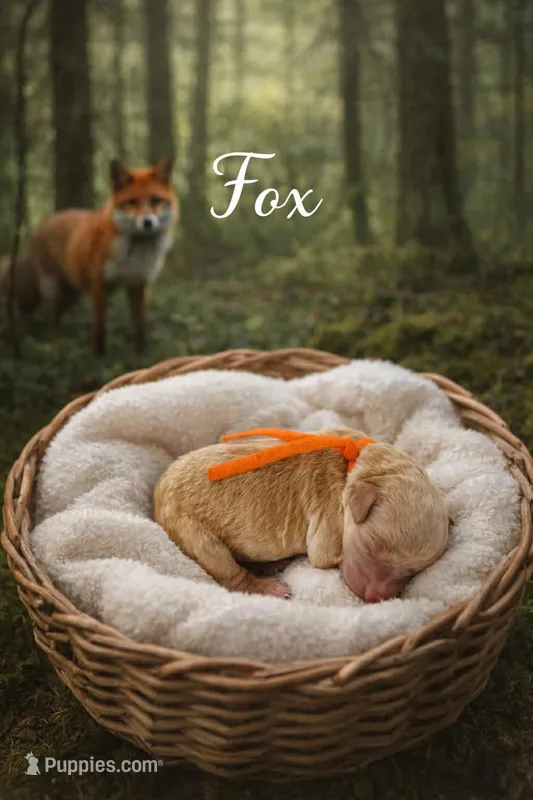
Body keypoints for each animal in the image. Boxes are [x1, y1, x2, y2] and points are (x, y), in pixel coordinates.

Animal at [0, 156, 178, 355]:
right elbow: (100, 328)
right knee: (48, 316)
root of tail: (39, 226)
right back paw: (54, 346)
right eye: (132, 202)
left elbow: (140, 328)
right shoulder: (99, 284)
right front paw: (99, 357)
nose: (147, 222)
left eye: (156, 200)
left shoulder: (138, 285)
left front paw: (141, 356)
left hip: (72, 294)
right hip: (51, 287)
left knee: (55, 315)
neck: (135, 255)